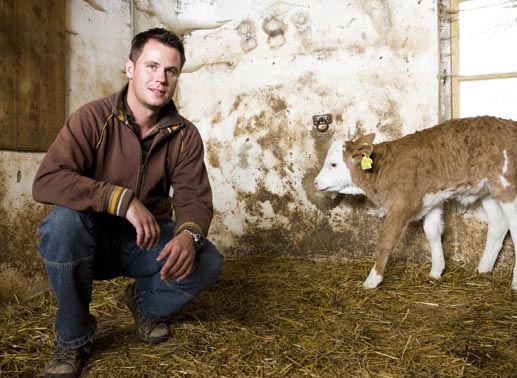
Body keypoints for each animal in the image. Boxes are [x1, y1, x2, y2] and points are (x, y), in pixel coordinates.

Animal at [312, 116, 516, 290]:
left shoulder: (402, 204)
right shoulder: (430, 199)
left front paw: (373, 279)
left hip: (508, 189)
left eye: (333, 164)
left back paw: (513, 284)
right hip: (488, 192)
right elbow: (432, 232)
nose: (315, 182)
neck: (382, 170)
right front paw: (436, 271)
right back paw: (483, 269)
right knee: (498, 225)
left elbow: (387, 239)